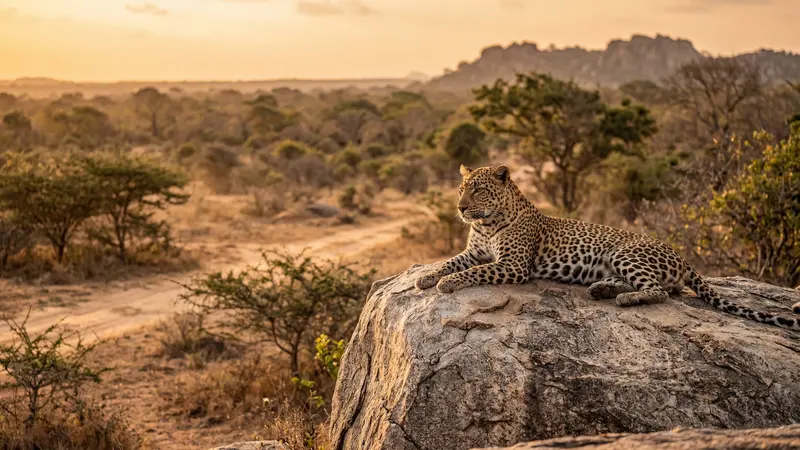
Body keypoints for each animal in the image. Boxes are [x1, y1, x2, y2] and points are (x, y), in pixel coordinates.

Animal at [415, 164, 800, 331]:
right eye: (461, 188)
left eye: (478, 189)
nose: (460, 207)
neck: (487, 221)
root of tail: (681, 255)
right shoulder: (474, 252)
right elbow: (450, 261)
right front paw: (426, 278)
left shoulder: (512, 265)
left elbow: (474, 271)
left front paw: (447, 284)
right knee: (654, 287)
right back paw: (602, 289)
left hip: (624, 252)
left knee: (660, 291)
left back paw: (622, 299)